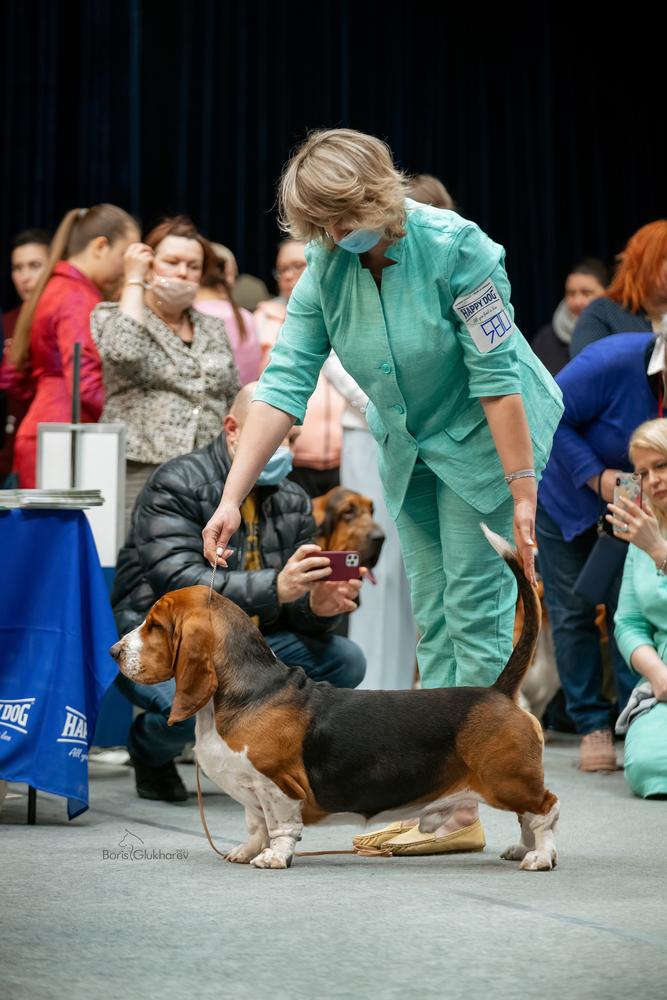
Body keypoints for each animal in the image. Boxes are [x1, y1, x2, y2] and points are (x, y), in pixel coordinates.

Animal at [112, 528, 560, 872]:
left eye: (155, 625)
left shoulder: (278, 785)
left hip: (507, 779)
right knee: (529, 816)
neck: (248, 691)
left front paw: (273, 858)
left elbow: (280, 828)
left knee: (546, 808)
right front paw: (246, 851)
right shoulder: (251, 793)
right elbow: (255, 826)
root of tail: (498, 690)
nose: (115, 652)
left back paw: (541, 857)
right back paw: (522, 849)